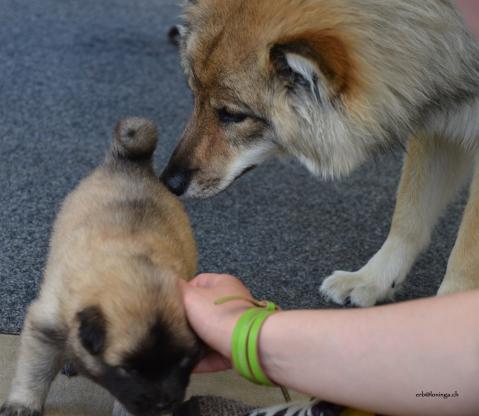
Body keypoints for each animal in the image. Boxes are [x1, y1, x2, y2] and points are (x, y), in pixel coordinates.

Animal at [0, 117, 202, 416]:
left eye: (183, 363)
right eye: (129, 369)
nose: (164, 403)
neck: (133, 266)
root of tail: (132, 163)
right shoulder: (46, 326)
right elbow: (34, 372)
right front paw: (23, 404)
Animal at [163, 0, 479, 306]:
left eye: (232, 115)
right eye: (194, 96)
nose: (169, 182)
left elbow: (465, 254)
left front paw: (449, 306)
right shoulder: (439, 121)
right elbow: (408, 218)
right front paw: (373, 280)